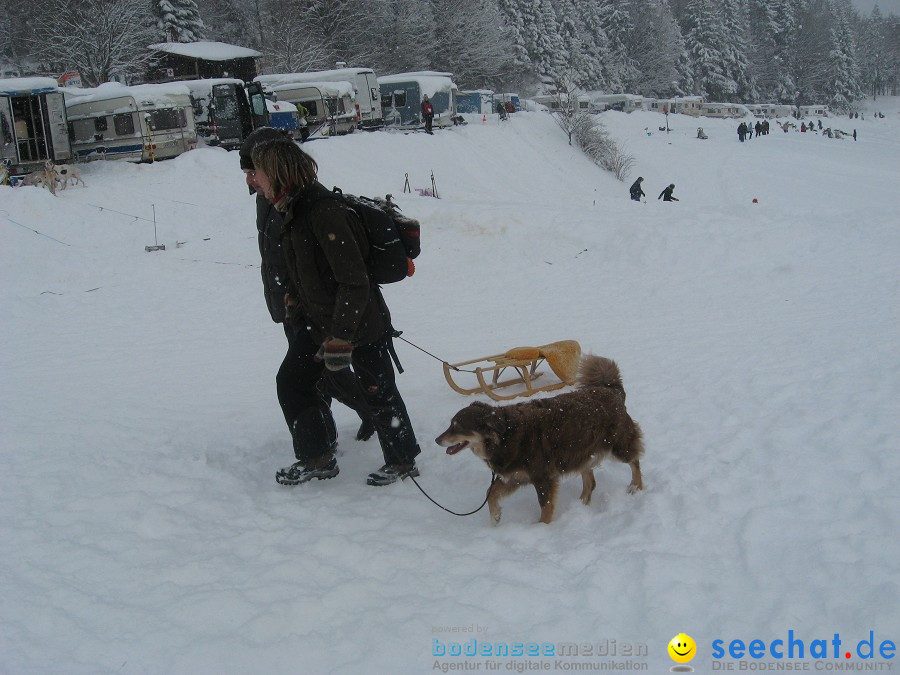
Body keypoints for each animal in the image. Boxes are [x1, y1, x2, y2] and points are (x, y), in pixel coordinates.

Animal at [434, 356, 640, 524]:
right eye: (451, 424)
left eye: (457, 427)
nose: (437, 440)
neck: (505, 435)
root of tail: (612, 391)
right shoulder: (516, 476)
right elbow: (490, 492)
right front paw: (495, 516)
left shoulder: (542, 476)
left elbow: (545, 506)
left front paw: (543, 527)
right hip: (580, 453)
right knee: (590, 481)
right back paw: (582, 503)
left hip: (617, 446)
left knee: (634, 460)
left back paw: (636, 486)